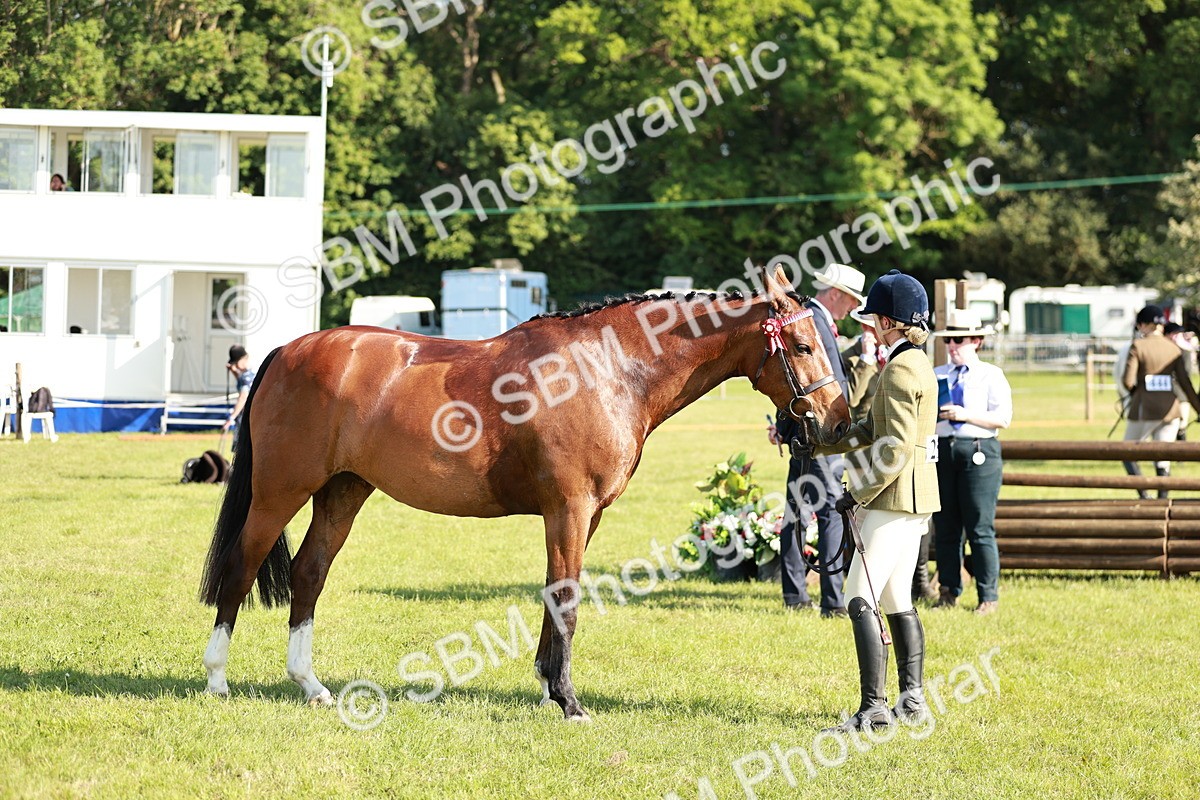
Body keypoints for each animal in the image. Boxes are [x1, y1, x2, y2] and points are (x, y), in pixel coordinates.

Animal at [199, 266, 851, 720]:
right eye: (801, 346)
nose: (838, 424)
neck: (608, 369)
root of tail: (286, 350)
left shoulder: (584, 516)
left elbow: (555, 593)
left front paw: (545, 689)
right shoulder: (569, 508)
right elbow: (566, 596)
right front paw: (568, 700)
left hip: (343, 492)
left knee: (308, 574)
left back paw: (310, 686)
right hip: (279, 493)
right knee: (241, 567)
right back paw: (217, 680)